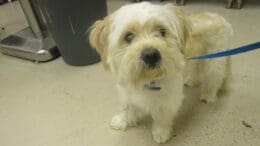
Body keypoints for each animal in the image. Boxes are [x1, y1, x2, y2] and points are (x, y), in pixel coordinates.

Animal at [89, 2, 232, 144]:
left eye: (162, 31)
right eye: (128, 36)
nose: (151, 55)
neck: (147, 80)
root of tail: (219, 17)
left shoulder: (168, 100)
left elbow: (162, 118)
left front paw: (161, 133)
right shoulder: (126, 92)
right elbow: (126, 107)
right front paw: (122, 121)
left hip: (214, 62)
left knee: (215, 79)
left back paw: (208, 95)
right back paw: (192, 80)